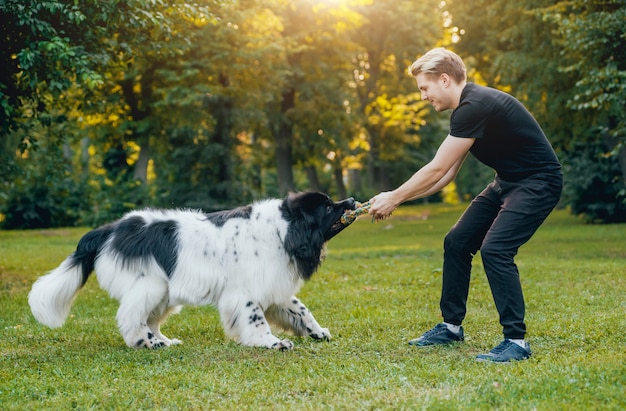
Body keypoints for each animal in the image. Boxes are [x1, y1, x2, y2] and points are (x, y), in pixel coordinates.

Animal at [28, 193, 356, 350]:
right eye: (327, 207)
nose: (352, 200)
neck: (282, 230)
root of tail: (111, 230)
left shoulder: (272, 286)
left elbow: (300, 310)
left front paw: (317, 332)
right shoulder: (244, 292)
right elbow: (256, 321)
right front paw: (272, 343)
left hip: (163, 292)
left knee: (149, 319)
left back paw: (163, 341)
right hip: (151, 285)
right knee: (130, 317)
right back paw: (146, 343)